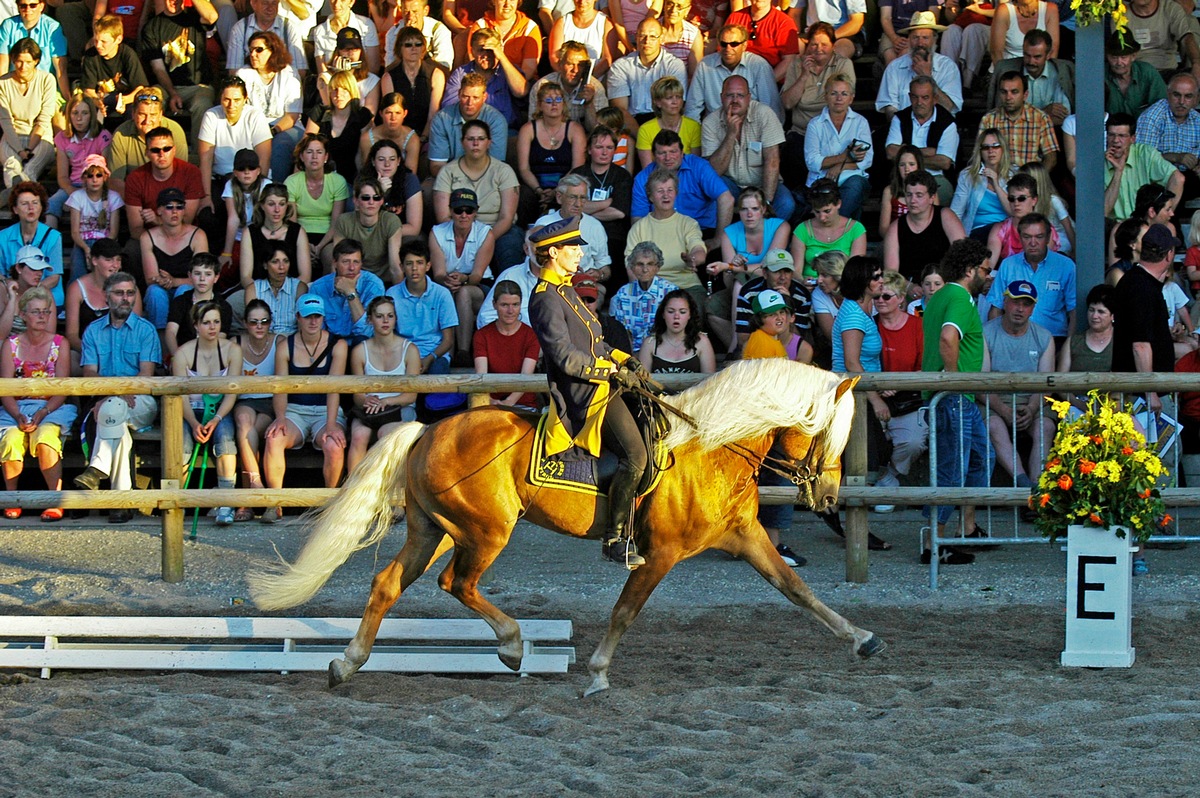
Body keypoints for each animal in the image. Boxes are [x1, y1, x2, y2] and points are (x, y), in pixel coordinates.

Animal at [248, 357, 888, 696]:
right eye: (829, 434)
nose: (829, 497)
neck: (710, 448)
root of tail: (428, 429)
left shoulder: (746, 538)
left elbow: (797, 590)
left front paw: (864, 639)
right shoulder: (659, 554)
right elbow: (625, 611)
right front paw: (598, 674)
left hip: (434, 530)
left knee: (388, 585)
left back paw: (346, 663)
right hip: (484, 532)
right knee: (458, 584)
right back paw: (511, 645)